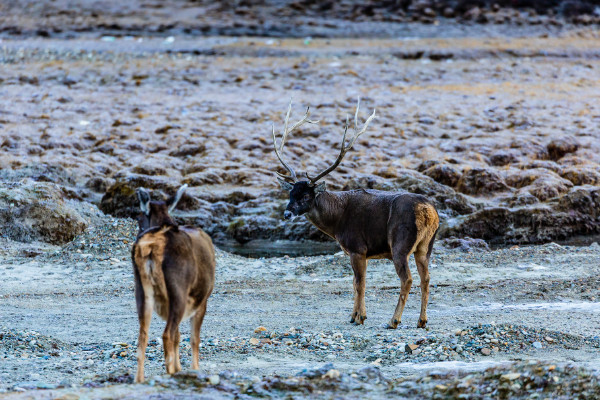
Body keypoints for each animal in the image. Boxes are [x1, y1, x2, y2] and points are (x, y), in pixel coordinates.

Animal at [274, 99, 438, 328]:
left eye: (306, 196)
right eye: (290, 193)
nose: (287, 214)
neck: (337, 221)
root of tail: (429, 212)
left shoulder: (357, 248)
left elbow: (359, 283)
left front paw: (359, 318)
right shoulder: (361, 253)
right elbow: (355, 282)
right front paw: (354, 315)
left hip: (400, 243)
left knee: (407, 279)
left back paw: (393, 320)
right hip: (425, 246)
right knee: (426, 278)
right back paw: (422, 321)